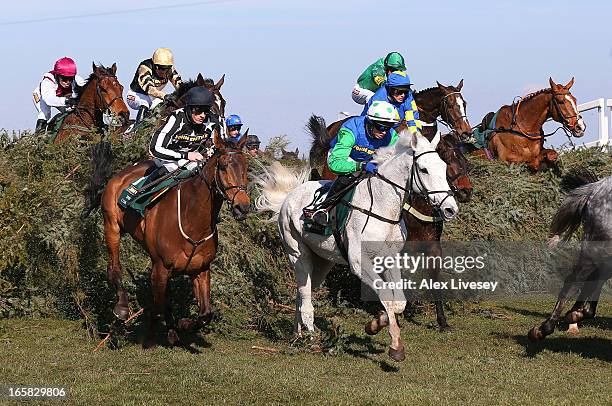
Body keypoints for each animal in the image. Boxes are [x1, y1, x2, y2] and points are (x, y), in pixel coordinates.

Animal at [100, 132, 249, 348]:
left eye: (247, 168)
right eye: (223, 166)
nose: (242, 207)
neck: (193, 222)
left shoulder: (200, 269)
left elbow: (205, 314)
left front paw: (183, 325)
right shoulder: (161, 267)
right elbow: (157, 309)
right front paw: (149, 340)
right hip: (111, 226)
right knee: (114, 267)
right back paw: (121, 307)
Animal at [255, 130, 460, 362]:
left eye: (443, 167)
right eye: (424, 169)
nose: (450, 209)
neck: (382, 205)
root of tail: (288, 196)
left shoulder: (390, 259)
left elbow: (398, 302)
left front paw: (377, 323)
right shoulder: (359, 262)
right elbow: (386, 296)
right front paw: (395, 345)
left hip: (323, 262)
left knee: (302, 293)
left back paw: (297, 335)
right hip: (298, 254)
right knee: (305, 297)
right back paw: (311, 336)